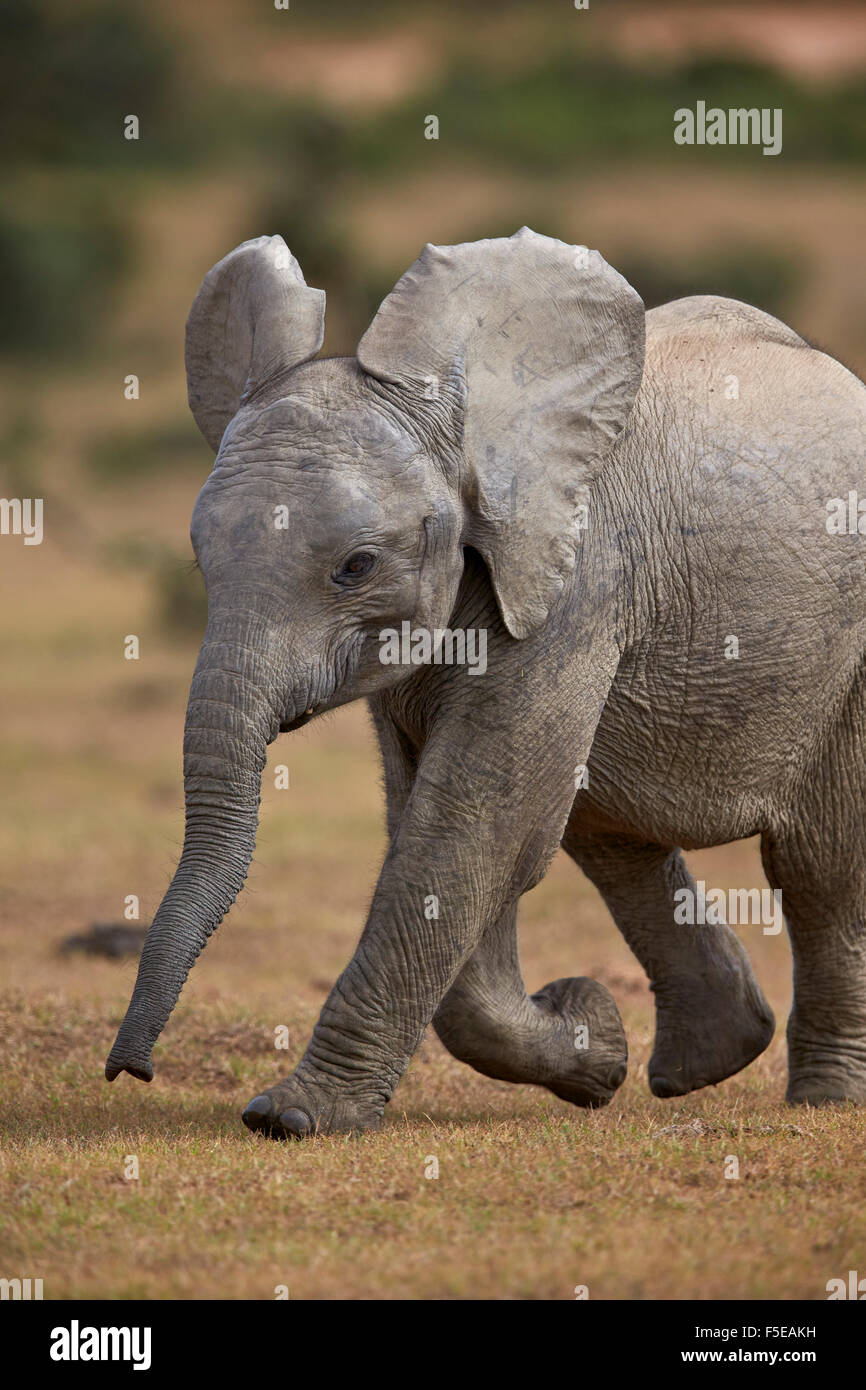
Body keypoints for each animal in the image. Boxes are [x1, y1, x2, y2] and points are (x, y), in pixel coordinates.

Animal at [107, 227, 866, 1134]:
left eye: (357, 566)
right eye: (201, 561)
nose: (129, 1071)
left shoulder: (576, 583)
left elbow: (472, 828)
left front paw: (290, 1119)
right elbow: (455, 830)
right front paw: (591, 1050)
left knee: (820, 867)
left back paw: (824, 1099)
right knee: (610, 832)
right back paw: (702, 1060)